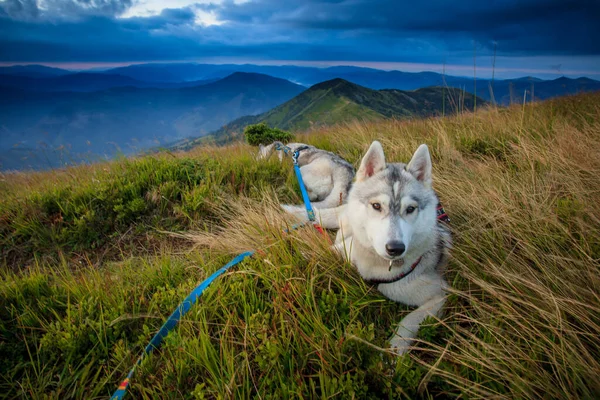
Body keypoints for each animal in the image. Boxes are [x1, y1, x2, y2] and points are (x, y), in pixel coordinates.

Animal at [284, 142, 450, 354]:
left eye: (410, 209)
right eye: (377, 205)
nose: (395, 248)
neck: (375, 264)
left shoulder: (440, 295)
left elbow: (410, 321)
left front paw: (394, 351)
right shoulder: (345, 250)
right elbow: (315, 255)